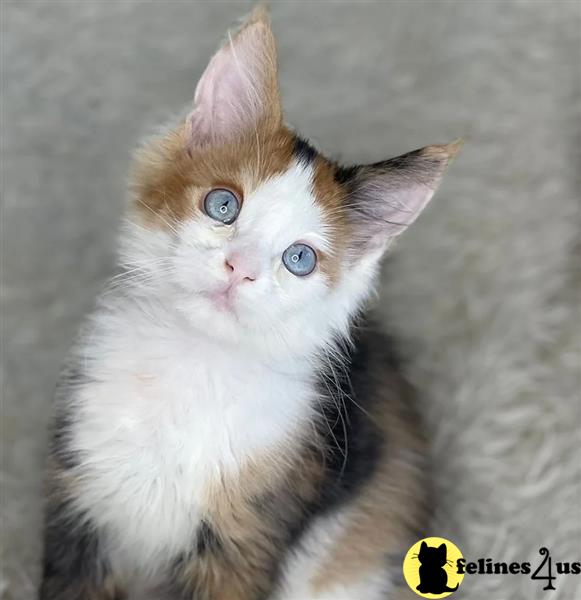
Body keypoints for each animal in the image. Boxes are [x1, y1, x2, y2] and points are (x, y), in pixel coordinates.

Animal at [39, 5, 458, 600]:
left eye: (300, 259)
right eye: (223, 205)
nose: (240, 268)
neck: (191, 362)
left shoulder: (248, 534)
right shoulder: (80, 498)